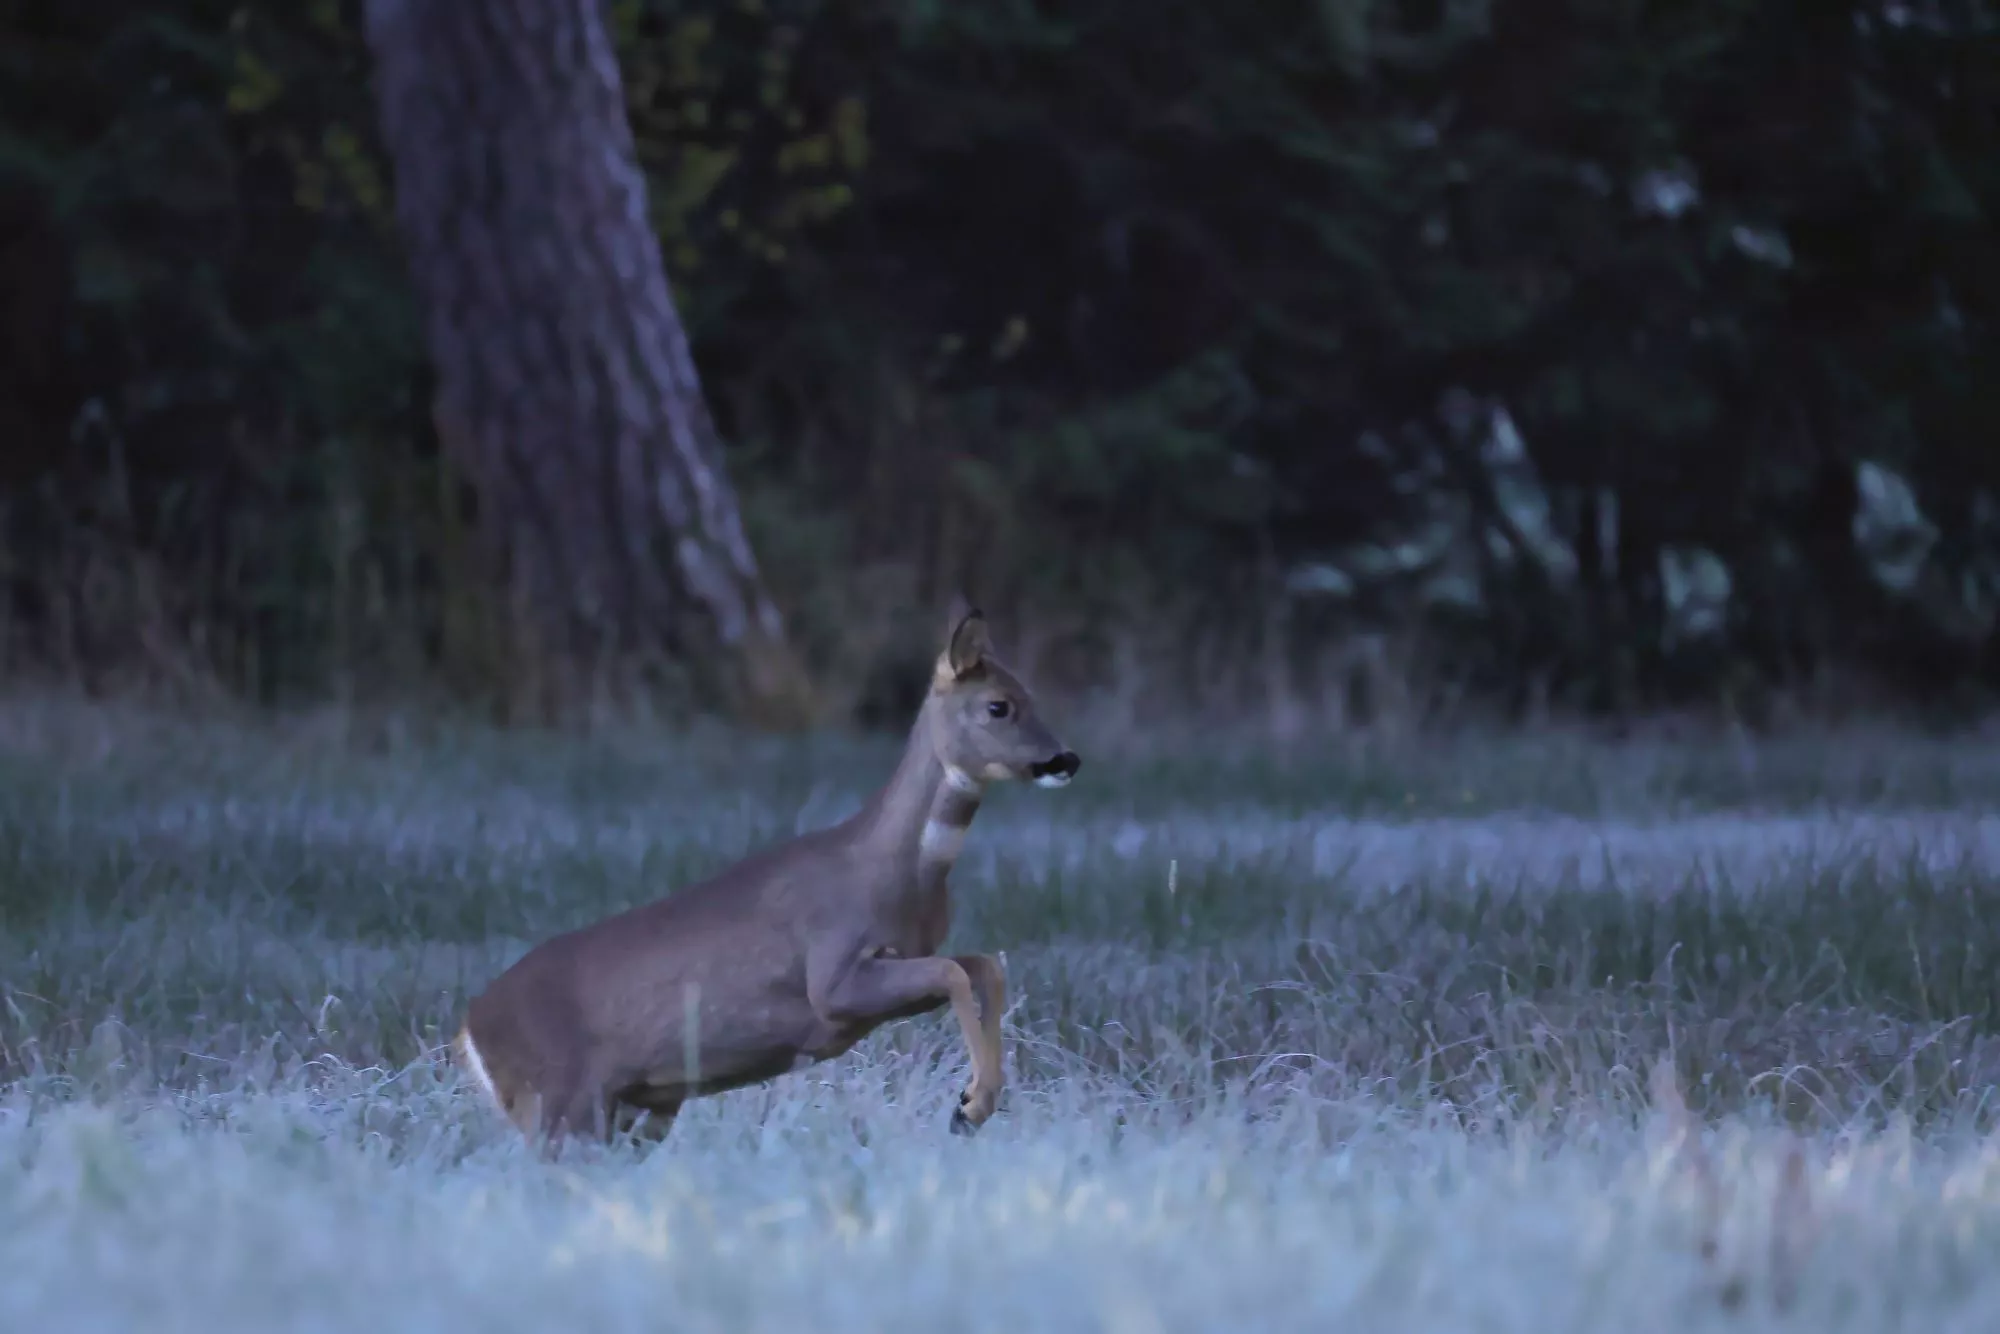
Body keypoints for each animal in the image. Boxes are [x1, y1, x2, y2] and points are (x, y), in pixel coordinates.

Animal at [449, 606, 1080, 1150]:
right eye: (998, 705)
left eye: (1032, 696)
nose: (1064, 759)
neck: (890, 871)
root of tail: (470, 1028)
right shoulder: (832, 979)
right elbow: (954, 971)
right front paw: (970, 1105)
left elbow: (983, 966)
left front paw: (974, 1101)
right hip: (560, 1104)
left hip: (635, 1111)